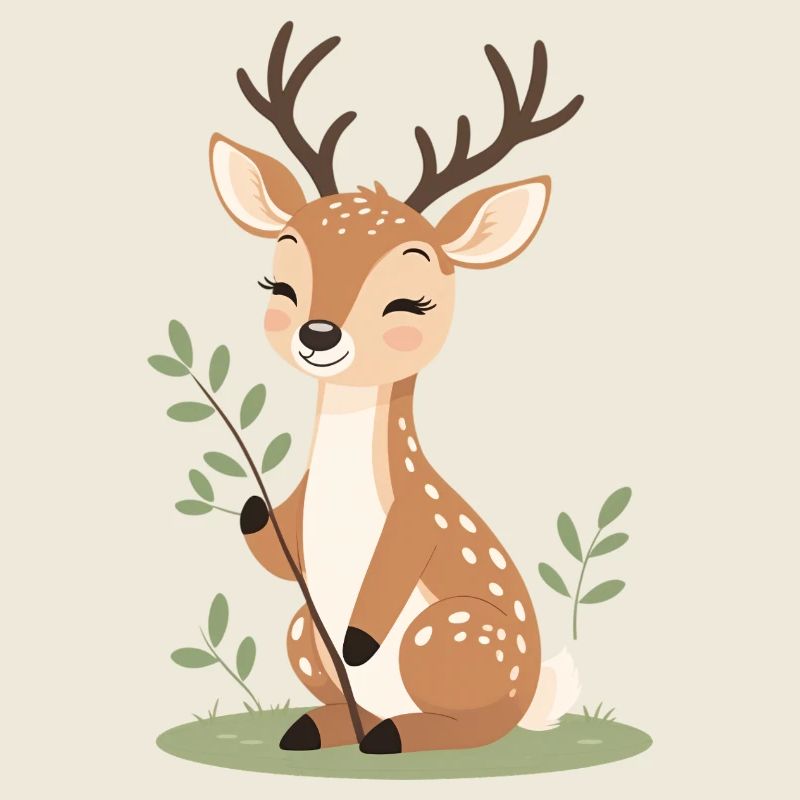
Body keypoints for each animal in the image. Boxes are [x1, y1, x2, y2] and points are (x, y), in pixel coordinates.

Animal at [208, 21, 583, 754]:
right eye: (280, 286)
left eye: (410, 303)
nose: (319, 334)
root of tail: (538, 696)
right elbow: (275, 549)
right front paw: (253, 509)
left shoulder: (420, 515)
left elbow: (400, 559)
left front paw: (357, 640)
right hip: (301, 629)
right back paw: (315, 726)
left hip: (451, 633)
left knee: (476, 723)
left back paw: (389, 733)